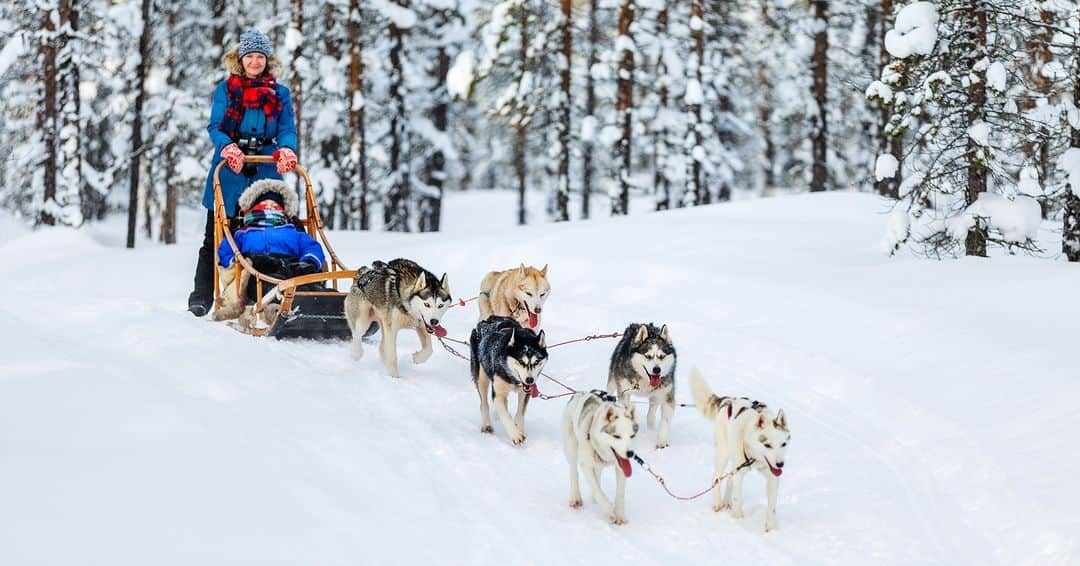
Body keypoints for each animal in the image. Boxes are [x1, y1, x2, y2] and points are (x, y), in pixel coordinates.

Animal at [466, 315, 544, 445]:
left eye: (537, 361)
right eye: (521, 361)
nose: (529, 380)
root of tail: (490, 319)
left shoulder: (525, 392)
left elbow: (520, 412)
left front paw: (519, 428)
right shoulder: (497, 395)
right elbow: (505, 416)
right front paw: (515, 434)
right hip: (481, 378)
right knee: (484, 403)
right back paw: (487, 425)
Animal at [561, 391, 635, 524]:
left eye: (632, 436)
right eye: (616, 436)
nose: (630, 453)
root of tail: (578, 394)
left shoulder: (621, 468)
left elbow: (620, 494)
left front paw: (620, 514)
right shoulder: (586, 466)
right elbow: (596, 490)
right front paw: (608, 510)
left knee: (597, 473)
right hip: (571, 447)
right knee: (574, 471)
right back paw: (576, 497)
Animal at [691, 367, 794, 531]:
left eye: (783, 444)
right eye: (767, 445)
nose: (780, 464)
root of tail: (728, 400)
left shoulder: (772, 478)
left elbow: (771, 506)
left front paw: (771, 528)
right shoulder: (740, 472)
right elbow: (737, 497)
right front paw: (737, 519)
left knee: (729, 479)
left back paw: (726, 502)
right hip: (724, 453)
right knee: (717, 478)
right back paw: (718, 502)